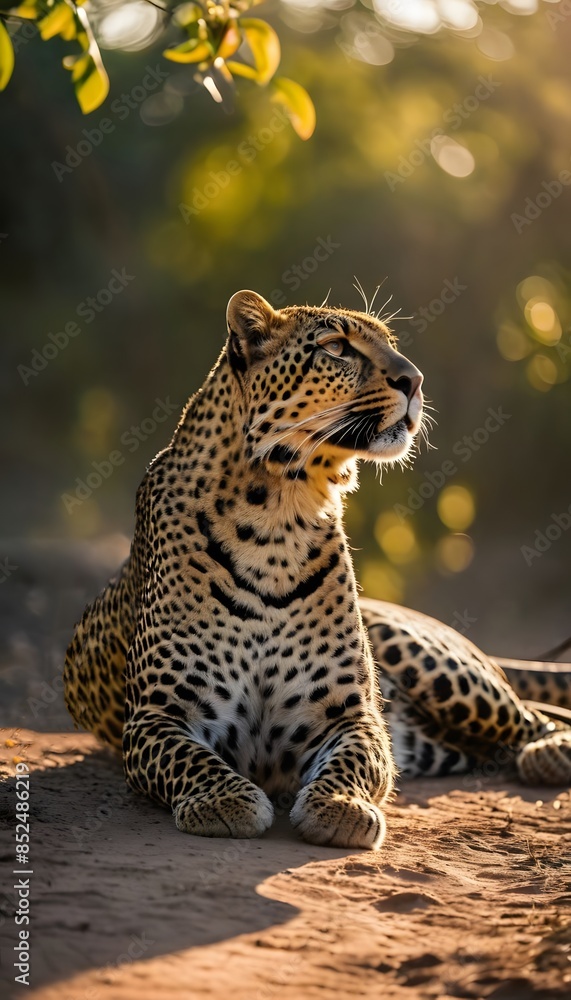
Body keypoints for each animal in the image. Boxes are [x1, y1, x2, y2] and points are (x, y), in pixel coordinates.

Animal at [63, 290, 571, 850]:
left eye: (390, 343)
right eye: (336, 348)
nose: (415, 380)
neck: (279, 513)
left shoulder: (354, 715)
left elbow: (355, 760)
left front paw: (340, 808)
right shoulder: (156, 716)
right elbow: (191, 759)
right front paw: (226, 801)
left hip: (435, 667)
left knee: (537, 716)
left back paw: (550, 754)